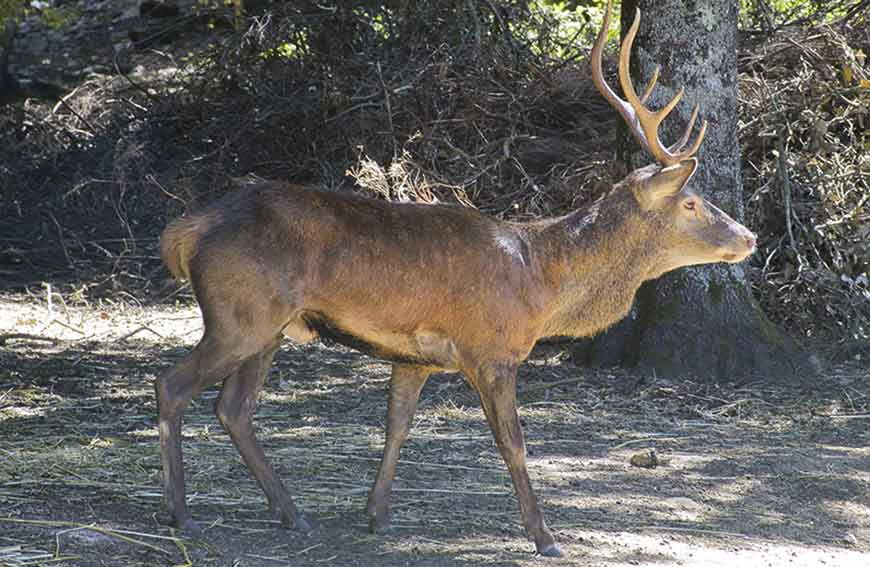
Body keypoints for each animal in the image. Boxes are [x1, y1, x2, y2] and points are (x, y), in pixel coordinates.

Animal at [155, 0, 756, 560]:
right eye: (692, 202)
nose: (749, 237)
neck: (541, 283)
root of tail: (189, 229)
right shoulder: (491, 350)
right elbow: (513, 443)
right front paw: (545, 537)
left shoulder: (413, 355)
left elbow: (397, 425)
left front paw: (377, 514)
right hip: (239, 314)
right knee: (173, 386)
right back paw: (182, 515)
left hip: (271, 328)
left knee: (234, 408)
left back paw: (291, 513)